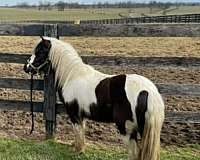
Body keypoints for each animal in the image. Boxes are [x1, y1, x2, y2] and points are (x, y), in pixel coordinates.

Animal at [24, 36, 164, 160]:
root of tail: (148, 91)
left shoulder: (74, 114)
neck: (72, 75)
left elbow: (78, 132)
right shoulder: (82, 115)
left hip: (127, 130)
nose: (26, 67)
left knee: (134, 153)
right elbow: (81, 132)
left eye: (39, 52)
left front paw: (78, 151)